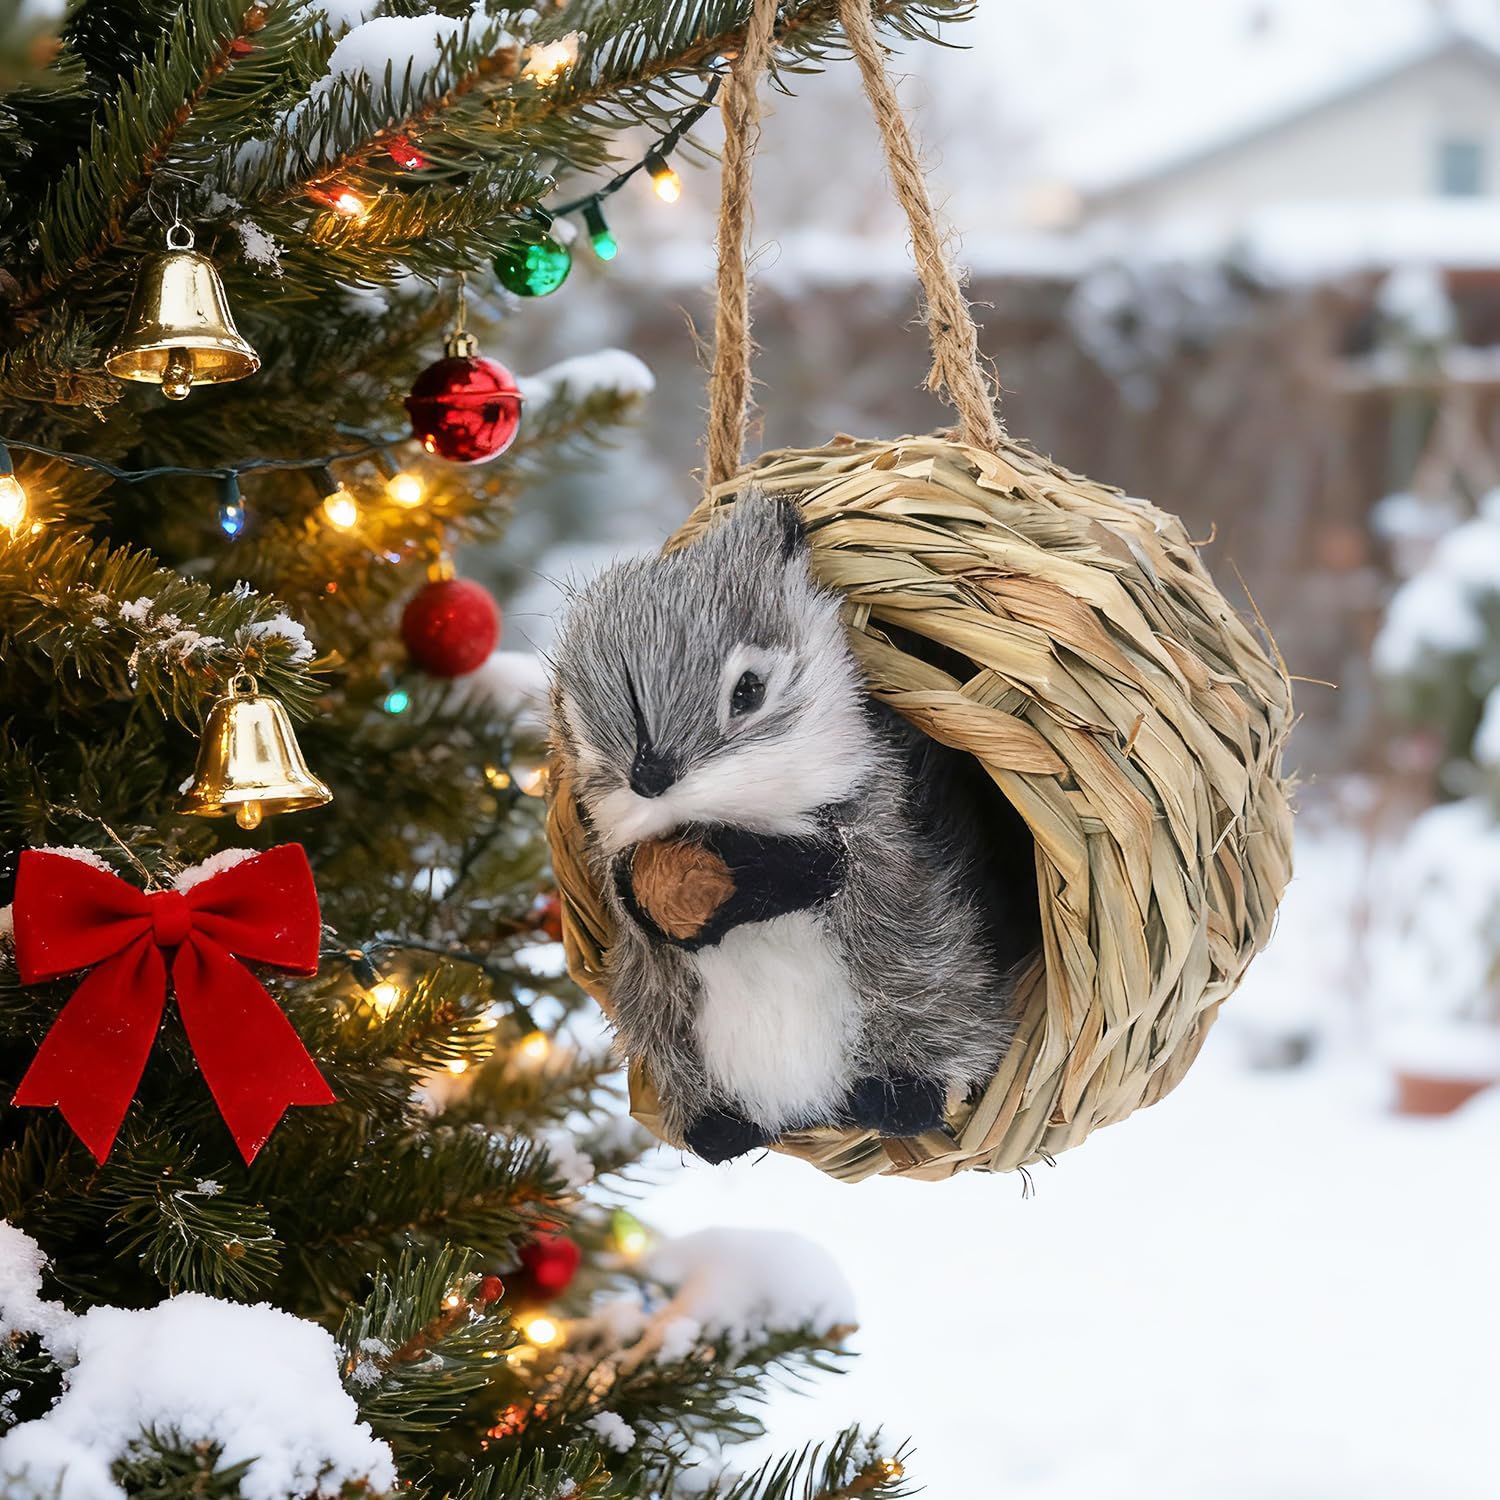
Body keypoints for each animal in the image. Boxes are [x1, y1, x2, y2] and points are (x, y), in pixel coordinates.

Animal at [549, 493, 1038, 1163]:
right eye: (584, 718)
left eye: (749, 690)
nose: (648, 776)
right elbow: (632, 898)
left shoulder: (882, 847)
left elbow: (820, 866)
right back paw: (723, 1128)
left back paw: (896, 1098)